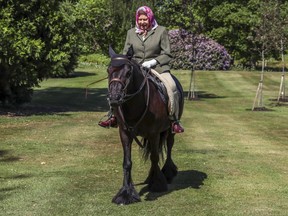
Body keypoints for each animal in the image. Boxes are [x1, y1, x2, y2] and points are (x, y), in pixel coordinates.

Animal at [107, 46, 183, 204]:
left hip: (170, 130)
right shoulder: (124, 133)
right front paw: (126, 192)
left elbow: (154, 157)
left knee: (169, 146)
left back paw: (167, 172)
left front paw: (158, 184)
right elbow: (127, 162)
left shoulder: (154, 134)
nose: (114, 98)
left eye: (128, 72)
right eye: (108, 70)